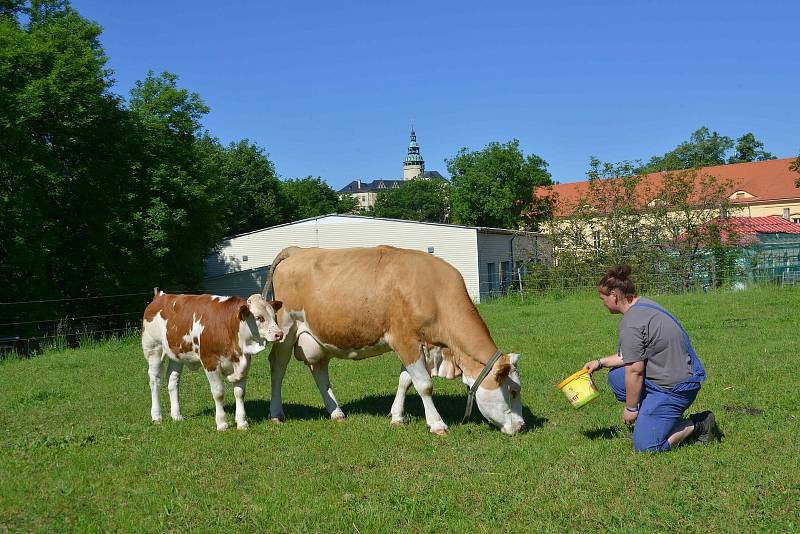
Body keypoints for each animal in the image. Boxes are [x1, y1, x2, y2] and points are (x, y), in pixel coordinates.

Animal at [141, 292, 284, 434]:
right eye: (259, 318)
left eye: (274, 316)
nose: (280, 334)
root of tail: (161, 296)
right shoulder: (209, 362)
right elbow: (218, 393)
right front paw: (222, 423)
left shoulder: (244, 363)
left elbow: (240, 393)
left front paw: (242, 422)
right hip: (153, 349)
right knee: (154, 381)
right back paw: (156, 416)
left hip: (177, 354)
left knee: (173, 381)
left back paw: (176, 415)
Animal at [262, 246, 524, 436]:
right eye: (513, 391)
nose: (521, 426)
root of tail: (297, 250)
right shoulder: (404, 339)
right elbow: (424, 385)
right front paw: (437, 424)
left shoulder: (417, 345)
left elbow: (405, 381)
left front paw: (397, 416)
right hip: (286, 329)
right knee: (278, 368)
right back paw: (276, 413)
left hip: (317, 339)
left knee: (318, 370)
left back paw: (336, 412)